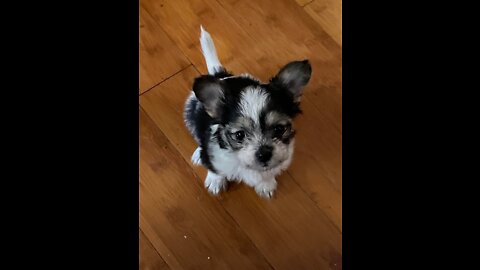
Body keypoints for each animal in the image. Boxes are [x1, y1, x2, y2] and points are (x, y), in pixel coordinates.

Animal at [184, 25, 312, 198]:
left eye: (279, 129)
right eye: (239, 135)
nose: (264, 153)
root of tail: (219, 75)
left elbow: (269, 173)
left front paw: (266, 184)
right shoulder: (213, 155)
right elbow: (214, 167)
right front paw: (215, 181)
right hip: (190, 112)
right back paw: (198, 153)